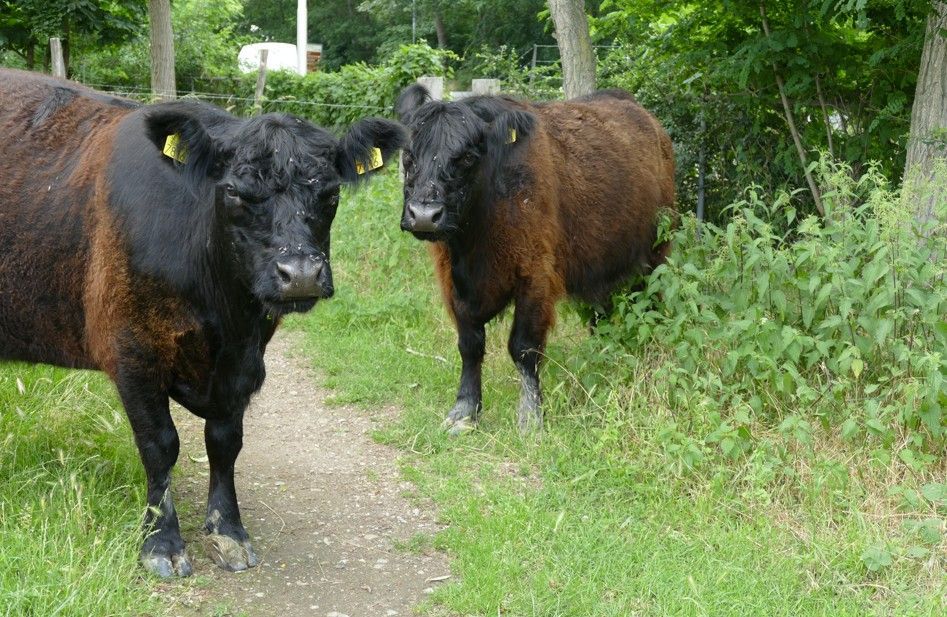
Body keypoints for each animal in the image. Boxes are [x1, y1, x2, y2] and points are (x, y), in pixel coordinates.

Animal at [0, 69, 405, 577]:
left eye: (330, 193)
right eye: (232, 191)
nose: (300, 274)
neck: (222, 311)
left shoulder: (243, 361)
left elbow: (225, 441)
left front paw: (228, 531)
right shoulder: (132, 350)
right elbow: (160, 445)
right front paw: (160, 542)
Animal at [395, 84, 675, 434]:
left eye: (468, 157)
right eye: (408, 155)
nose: (423, 215)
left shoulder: (535, 278)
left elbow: (524, 348)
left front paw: (530, 417)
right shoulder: (454, 283)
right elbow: (469, 345)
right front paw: (464, 411)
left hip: (657, 253)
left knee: (652, 304)